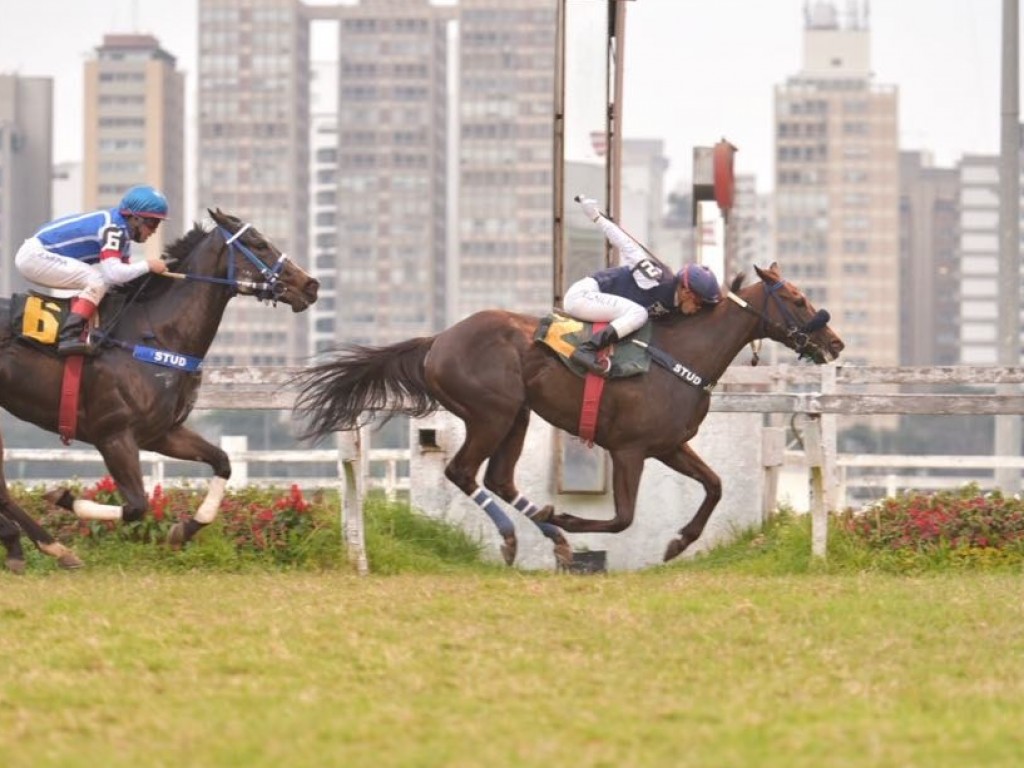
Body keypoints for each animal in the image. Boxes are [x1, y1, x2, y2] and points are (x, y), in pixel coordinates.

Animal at [0, 210, 317, 573]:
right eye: (259, 243)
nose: (311, 285)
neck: (154, 335)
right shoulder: (113, 435)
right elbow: (137, 505)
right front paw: (63, 496)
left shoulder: (161, 433)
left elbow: (222, 462)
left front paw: (184, 529)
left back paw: (35, 546)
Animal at [294, 264, 839, 565]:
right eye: (796, 298)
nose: (835, 343)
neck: (682, 354)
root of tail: (439, 340)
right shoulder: (630, 450)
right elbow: (622, 518)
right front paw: (570, 517)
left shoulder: (669, 445)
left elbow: (716, 485)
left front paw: (679, 543)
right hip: (491, 413)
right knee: (462, 472)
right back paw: (520, 535)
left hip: (517, 415)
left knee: (500, 479)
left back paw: (550, 535)